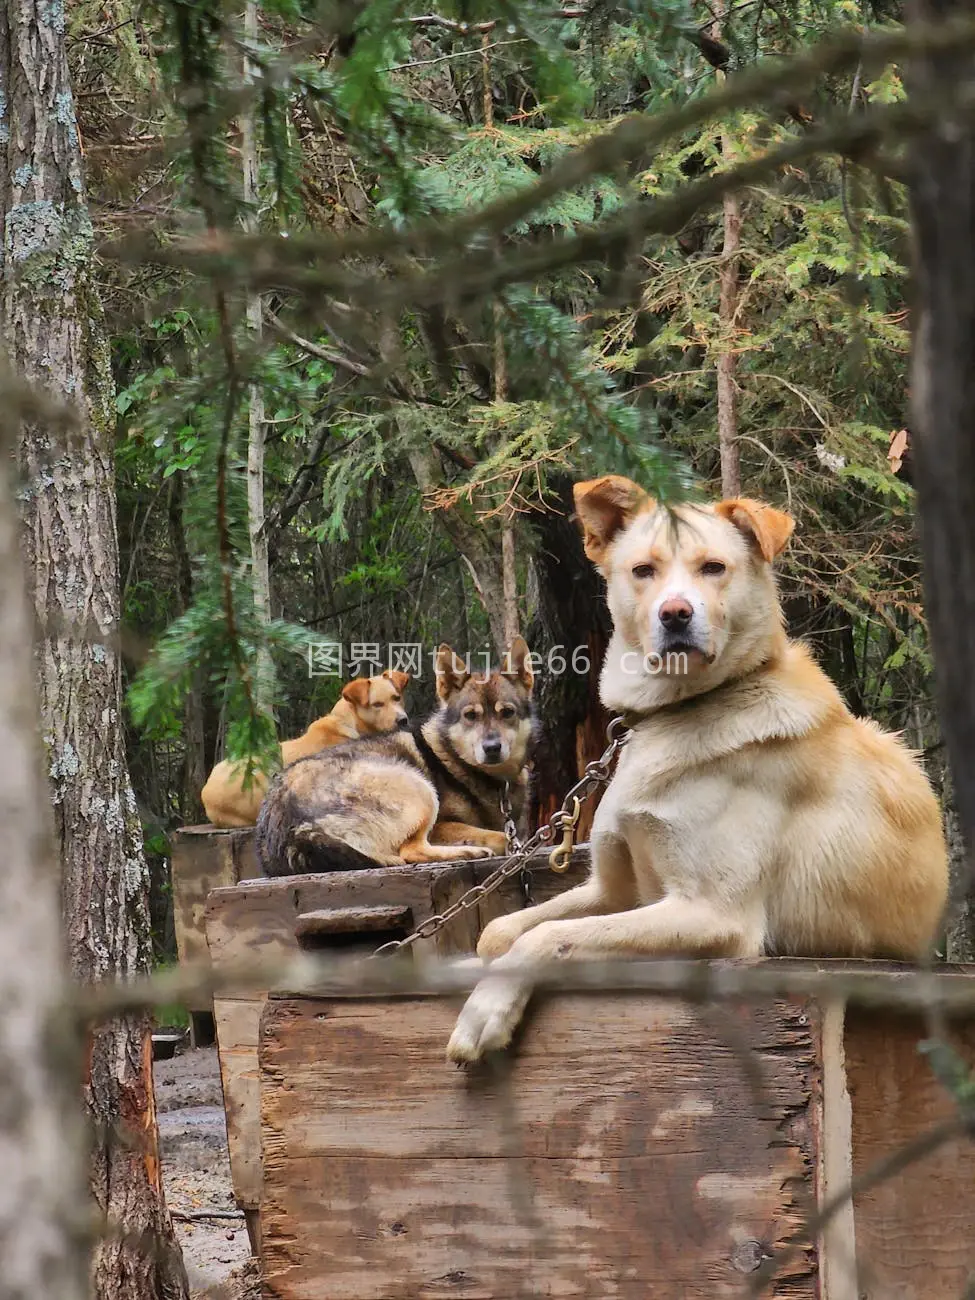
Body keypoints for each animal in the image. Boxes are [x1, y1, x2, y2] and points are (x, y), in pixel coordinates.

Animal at [256, 637, 538, 873]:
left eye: (507, 713)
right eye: (470, 715)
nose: (492, 748)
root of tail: (291, 827)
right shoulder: (442, 825)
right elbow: (503, 836)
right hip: (419, 789)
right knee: (410, 852)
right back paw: (470, 851)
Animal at [449, 480, 946, 1066]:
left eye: (714, 567)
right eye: (644, 570)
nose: (676, 614)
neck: (673, 713)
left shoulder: (712, 915)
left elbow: (547, 936)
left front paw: (486, 1010)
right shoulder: (614, 891)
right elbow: (499, 931)